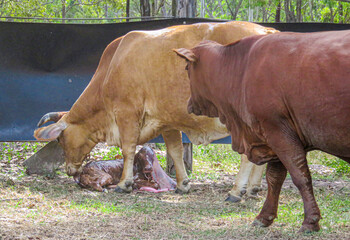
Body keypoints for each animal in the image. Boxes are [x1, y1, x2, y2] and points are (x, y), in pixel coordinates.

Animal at [34, 21, 276, 200]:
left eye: (60, 139)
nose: (69, 170)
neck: (111, 67)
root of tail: (268, 31)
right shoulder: (167, 122)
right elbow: (175, 151)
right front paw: (182, 184)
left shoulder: (127, 112)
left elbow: (128, 149)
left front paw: (124, 183)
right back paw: (253, 188)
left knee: (248, 154)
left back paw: (236, 191)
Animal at [175, 29, 350, 232]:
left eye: (187, 68)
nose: (188, 103)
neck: (241, 68)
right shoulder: (274, 138)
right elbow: (274, 178)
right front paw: (265, 216)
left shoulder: (277, 130)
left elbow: (300, 176)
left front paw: (310, 220)